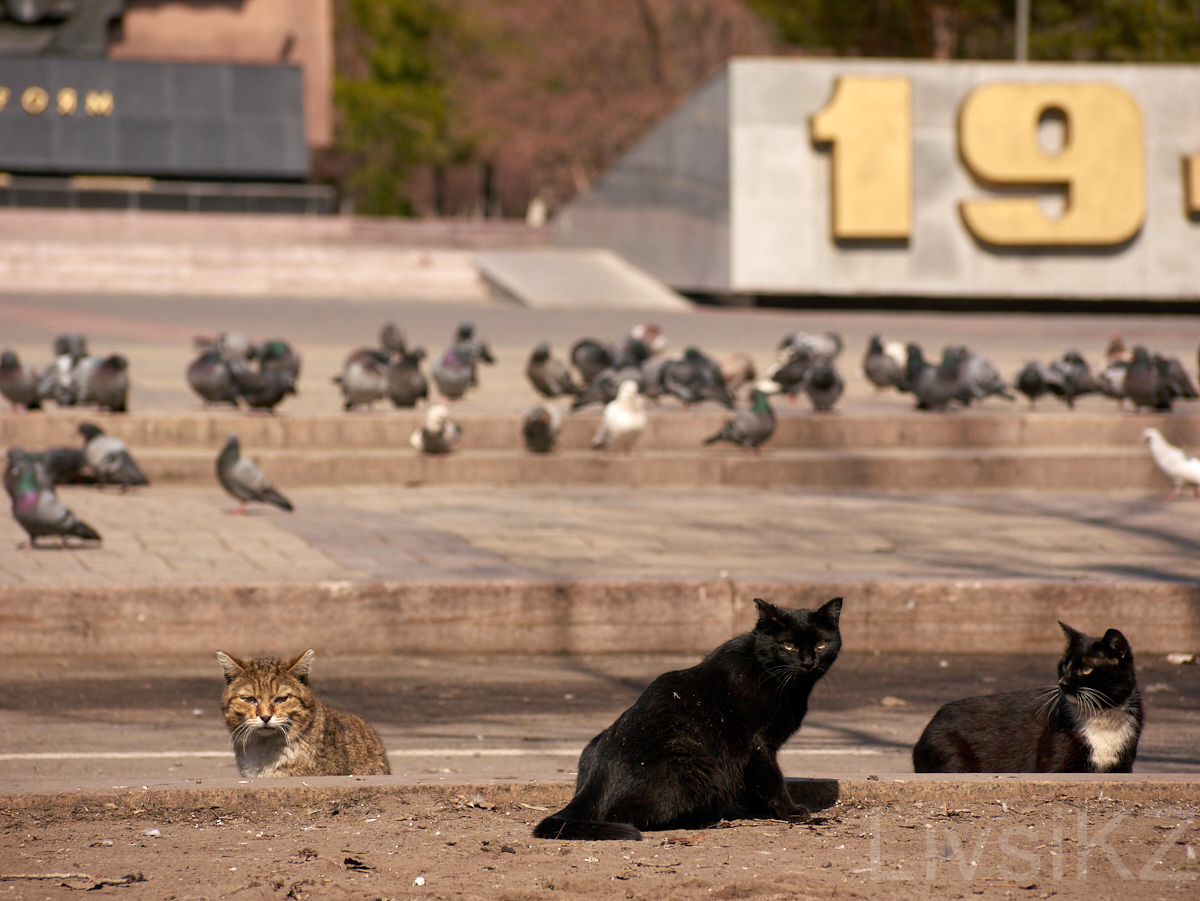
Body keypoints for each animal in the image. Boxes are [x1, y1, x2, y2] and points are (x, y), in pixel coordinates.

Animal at [535, 595, 844, 844]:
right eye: (789, 645)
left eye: (821, 643)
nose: (808, 662)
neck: (773, 676)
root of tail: (593, 781)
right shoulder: (758, 744)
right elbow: (770, 779)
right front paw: (790, 812)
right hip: (691, 760)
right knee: (622, 815)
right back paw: (703, 818)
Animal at [912, 619, 1137, 777]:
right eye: (1064, 666)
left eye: (1087, 669)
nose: (1062, 683)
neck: (1101, 715)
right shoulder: (1055, 761)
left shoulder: (1122, 765)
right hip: (950, 752)